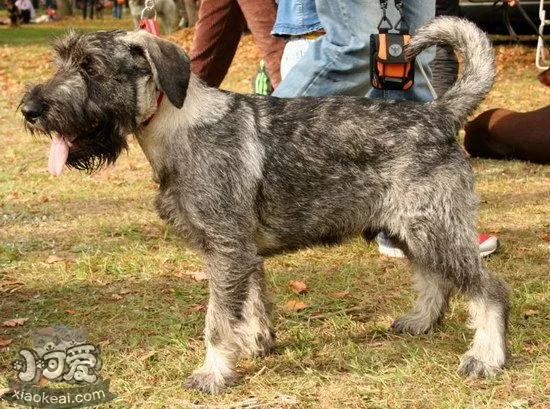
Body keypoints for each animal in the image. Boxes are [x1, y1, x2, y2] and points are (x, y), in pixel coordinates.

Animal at [20, 17, 512, 394]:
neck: (175, 125)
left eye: (92, 67)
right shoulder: (241, 252)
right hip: (413, 229)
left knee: (488, 290)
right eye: (62, 61)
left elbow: (217, 320)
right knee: (435, 278)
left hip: (434, 227)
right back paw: (422, 321)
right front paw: (256, 344)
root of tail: (438, 114)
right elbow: (252, 303)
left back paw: (485, 357)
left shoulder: (226, 249)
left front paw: (212, 372)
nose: (30, 109)